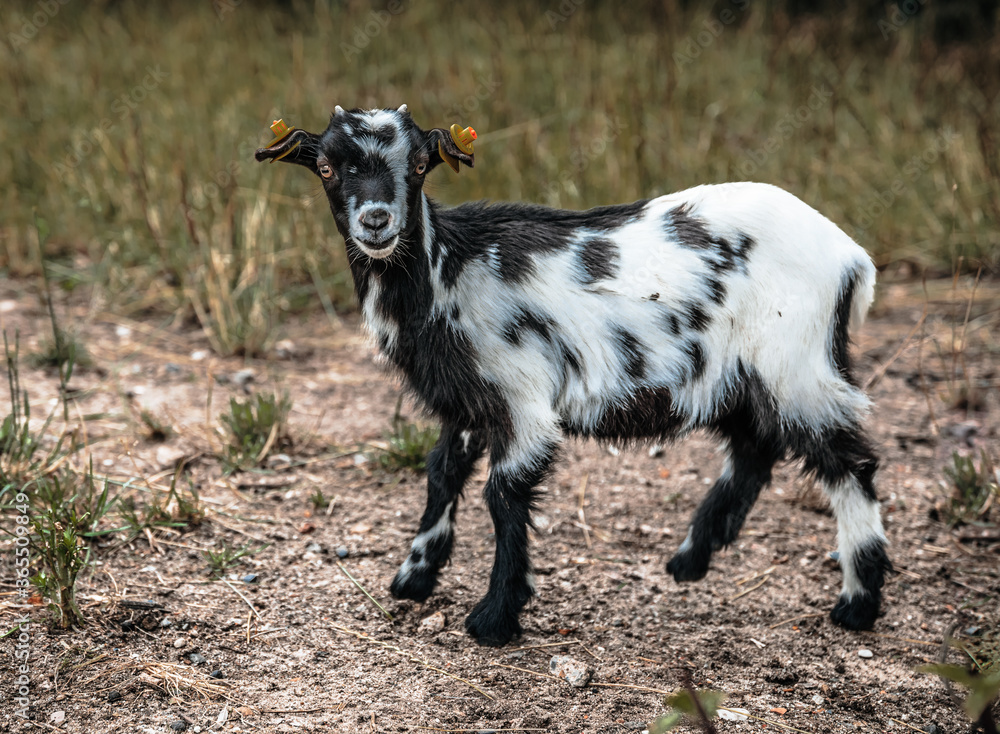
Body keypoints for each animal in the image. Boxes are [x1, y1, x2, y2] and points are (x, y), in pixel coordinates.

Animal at [255, 105, 892, 646]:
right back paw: (690, 559)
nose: (377, 221)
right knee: (756, 450)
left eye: (417, 165)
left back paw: (858, 602)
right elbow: (441, 475)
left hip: (797, 365)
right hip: (742, 375)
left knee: (849, 464)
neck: (448, 273)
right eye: (327, 167)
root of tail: (854, 259)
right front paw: (414, 577)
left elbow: (503, 493)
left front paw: (495, 617)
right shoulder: (468, 401)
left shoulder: (521, 399)